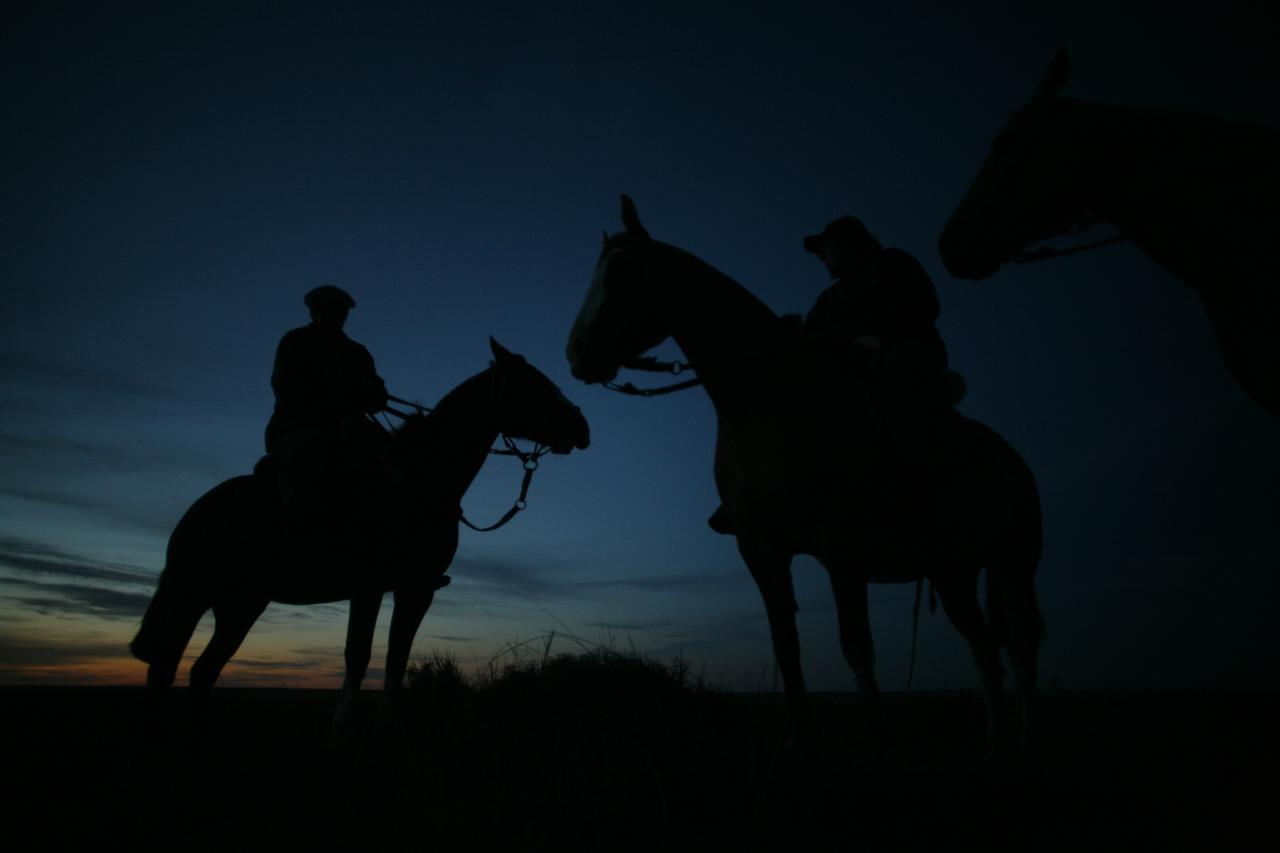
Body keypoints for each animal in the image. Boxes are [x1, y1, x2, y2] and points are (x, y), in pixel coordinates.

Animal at [129, 338, 588, 732]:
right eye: (534, 385)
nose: (583, 427)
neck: (416, 483)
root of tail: (197, 510)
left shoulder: (417, 588)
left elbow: (398, 656)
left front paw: (388, 724)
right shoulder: (367, 586)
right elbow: (358, 652)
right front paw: (344, 724)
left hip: (240, 603)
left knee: (200, 669)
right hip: (193, 591)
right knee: (166, 665)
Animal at [565, 195, 1044, 758]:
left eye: (620, 269)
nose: (576, 354)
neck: (769, 402)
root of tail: (1010, 457)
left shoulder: (842, 548)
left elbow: (857, 647)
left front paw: (875, 739)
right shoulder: (760, 548)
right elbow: (785, 644)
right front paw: (799, 736)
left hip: (1013, 562)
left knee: (1022, 646)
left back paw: (1027, 739)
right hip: (954, 573)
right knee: (986, 650)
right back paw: (994, 740)